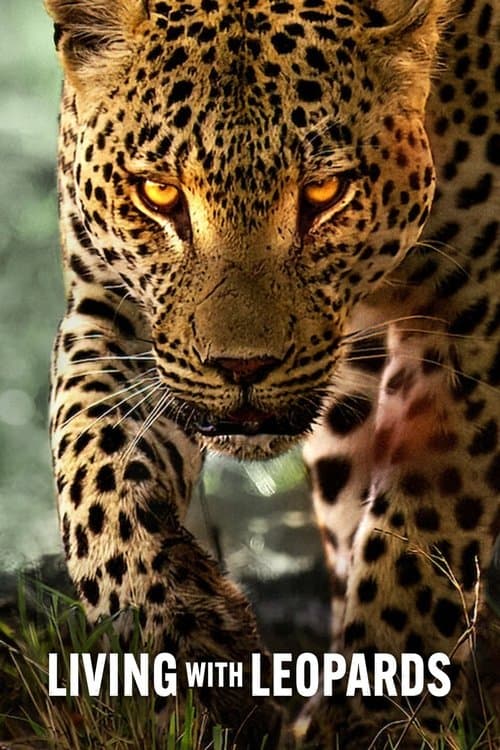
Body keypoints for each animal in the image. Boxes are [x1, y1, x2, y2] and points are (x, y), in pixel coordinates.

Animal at [44, 0, 500, 747]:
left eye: (324, 190)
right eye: (159, 193)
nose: (243, 366)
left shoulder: (472, 314)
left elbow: (423, 535)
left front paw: (378, 720)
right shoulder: (113, 309)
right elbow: (97, 476)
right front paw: (186, 651)